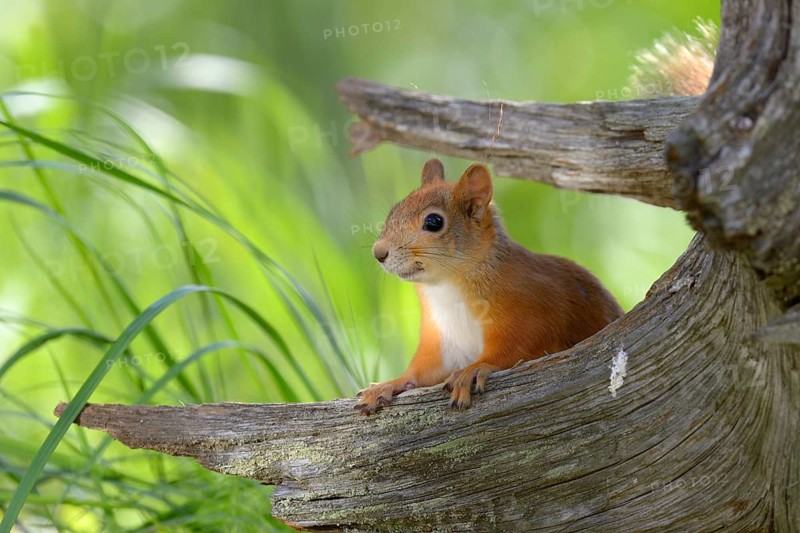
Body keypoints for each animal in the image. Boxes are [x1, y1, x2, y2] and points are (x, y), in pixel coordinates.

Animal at [355, 160, 624, 414]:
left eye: (433, 222)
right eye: (393, 211)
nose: (378, 252)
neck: (446, 287)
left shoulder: (533, 309)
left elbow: (518, 346)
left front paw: (474, 369)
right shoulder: (441, 340)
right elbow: (424, 371)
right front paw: (389, 384)